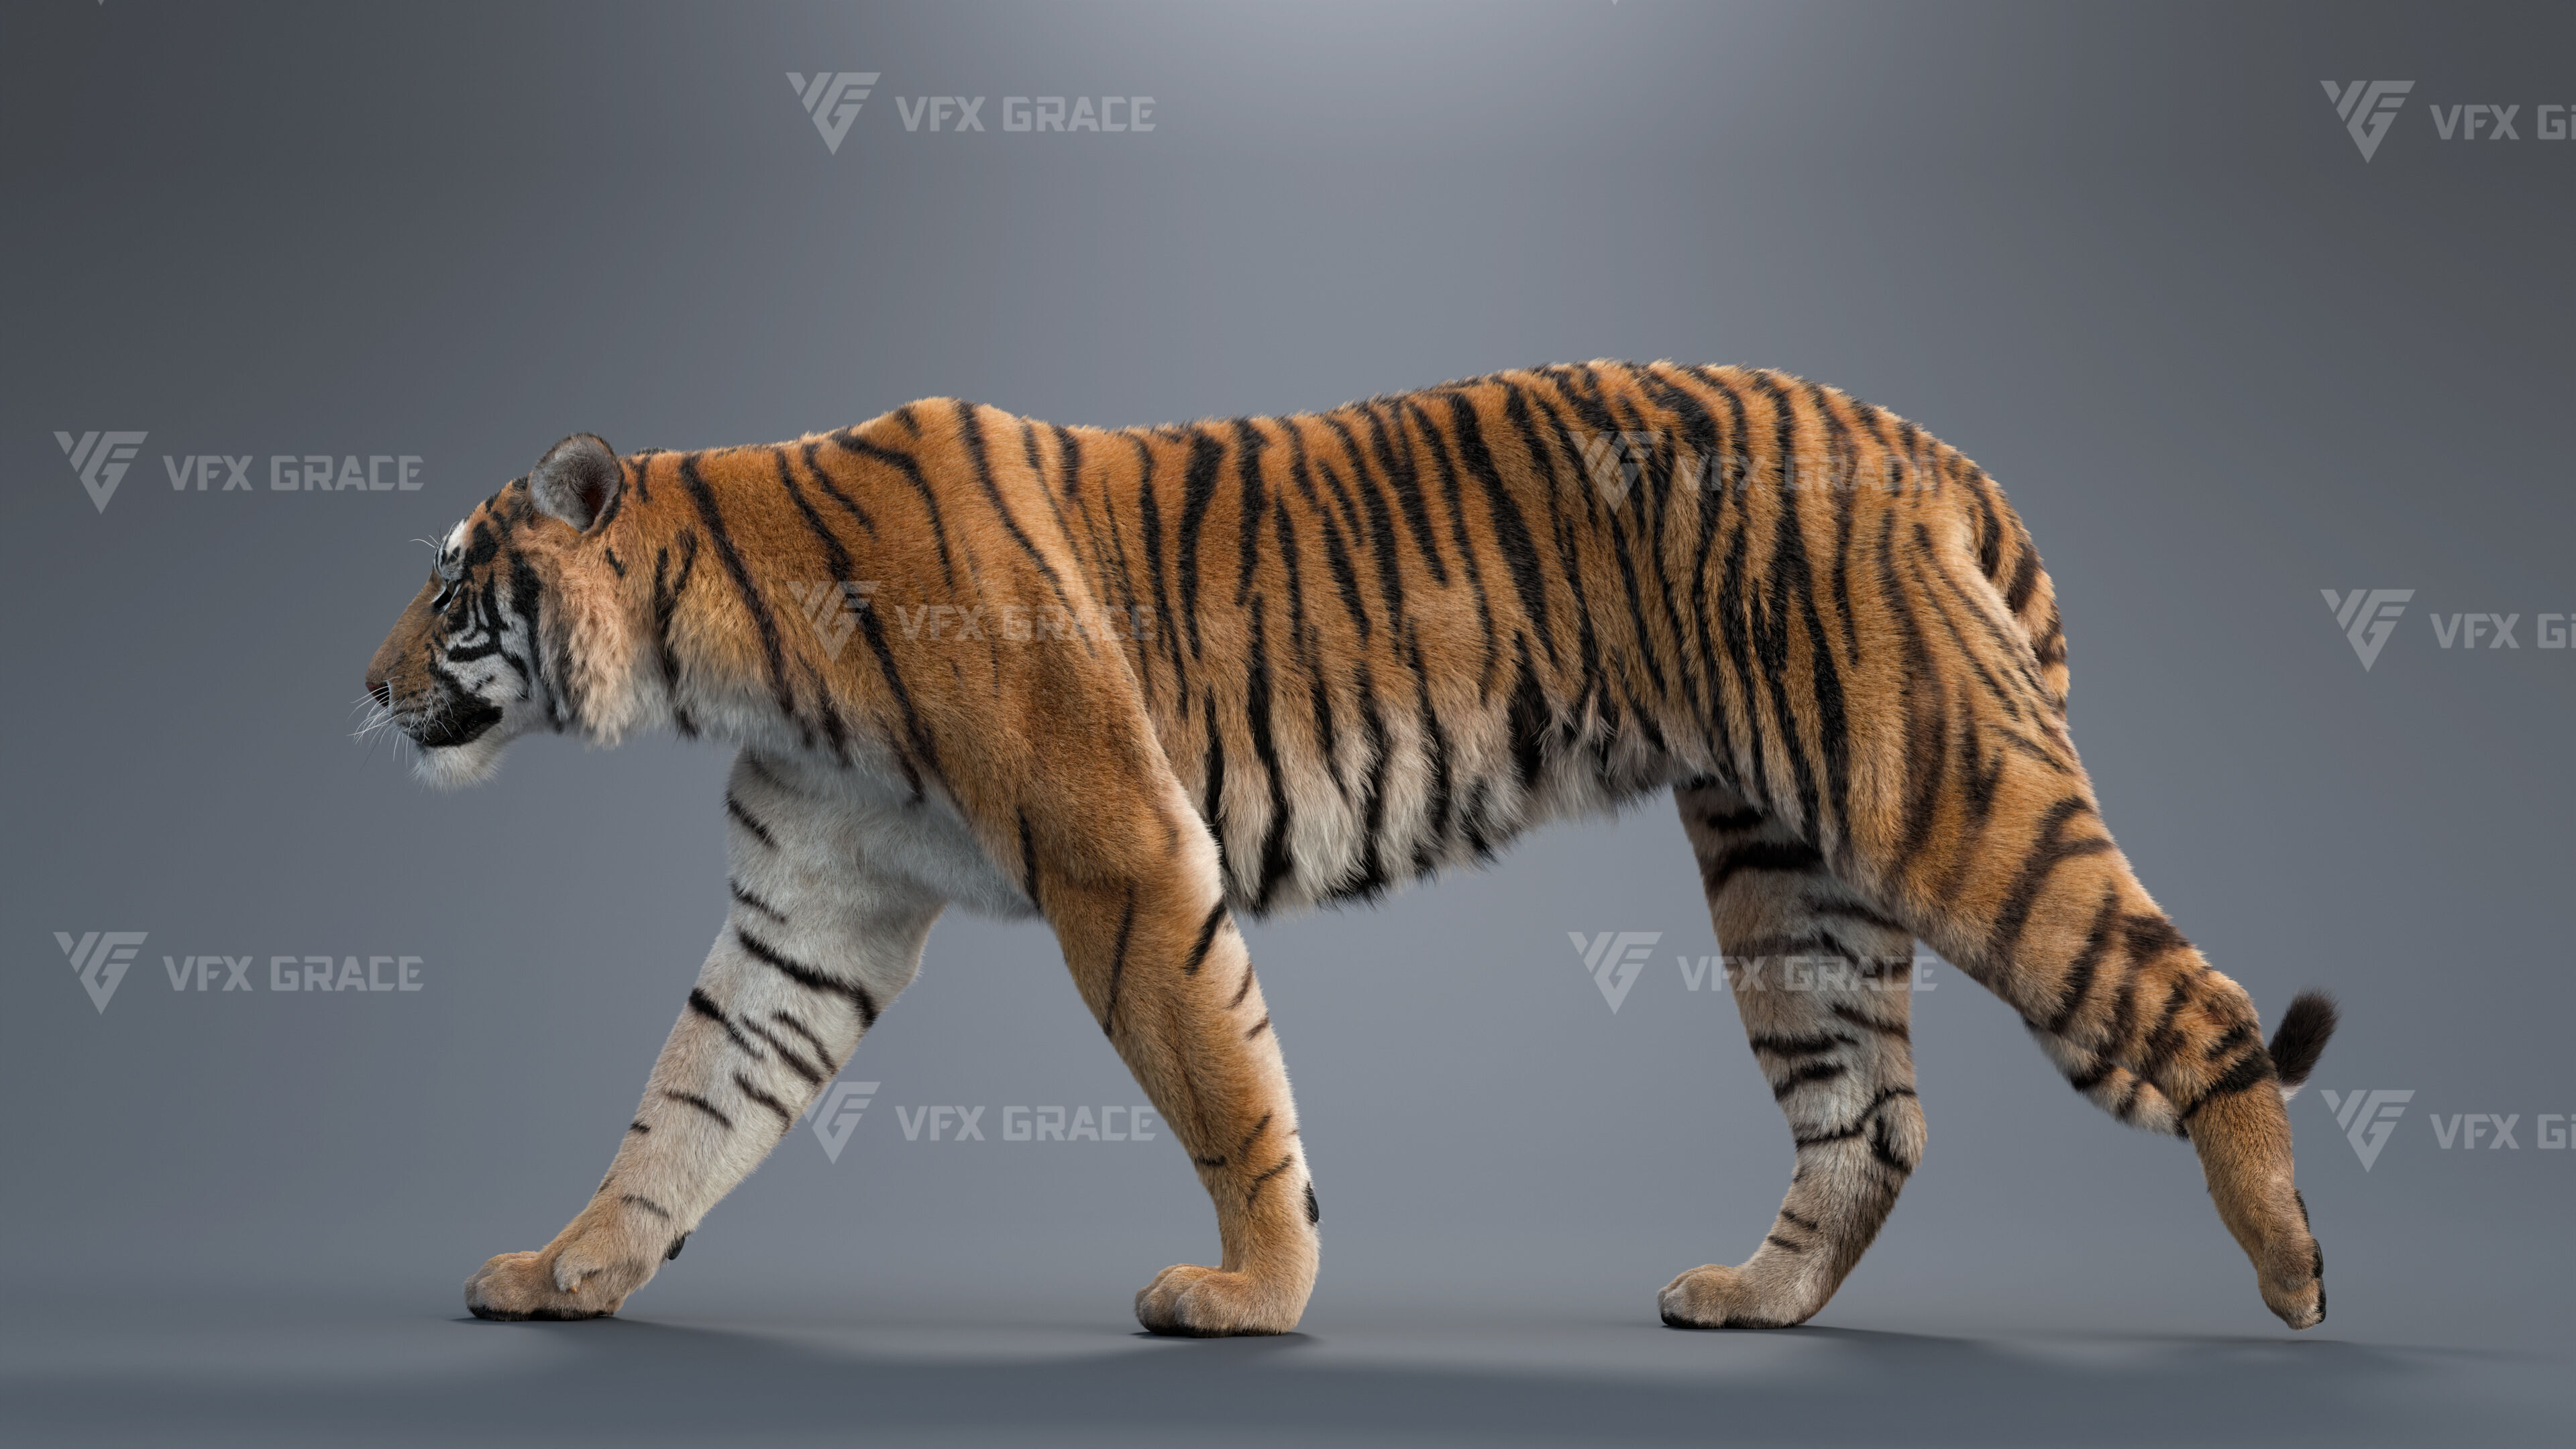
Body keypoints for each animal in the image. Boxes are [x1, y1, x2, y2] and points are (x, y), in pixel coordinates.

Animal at [363, 361, 2339, 1335]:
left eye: (453, 588)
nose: (362, 686)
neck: (720, 653)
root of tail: (1935, 451)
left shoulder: (1118, 853)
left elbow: (1216, 1076)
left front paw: (1253, 1293)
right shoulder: (807, 910)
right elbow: (687, 1107)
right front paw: (569, 1272)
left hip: (1935, 792)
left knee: (2185, 998)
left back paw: (2290, 1271)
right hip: (1788, 874)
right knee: (1869, 1118)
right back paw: (1750, 1303)